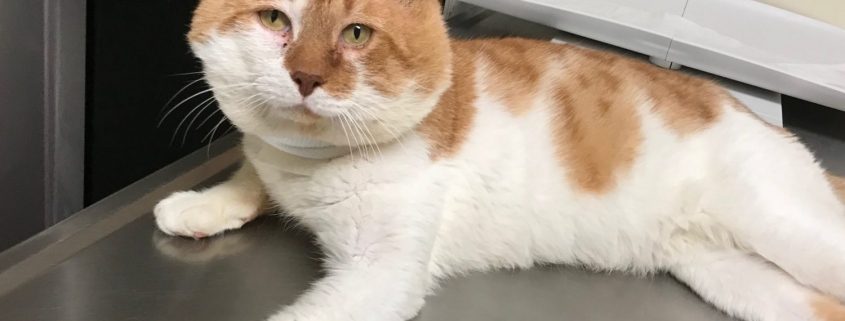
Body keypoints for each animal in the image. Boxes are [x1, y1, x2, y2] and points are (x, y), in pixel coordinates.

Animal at [153, 0, 844, 320]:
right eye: (275, 18)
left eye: (356, 34)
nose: (304, 77)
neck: (313, 163)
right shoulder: (270, 158)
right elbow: (249, 175)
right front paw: (199, 207)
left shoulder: (381, 273)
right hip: (743, 281)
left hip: (786, 228)